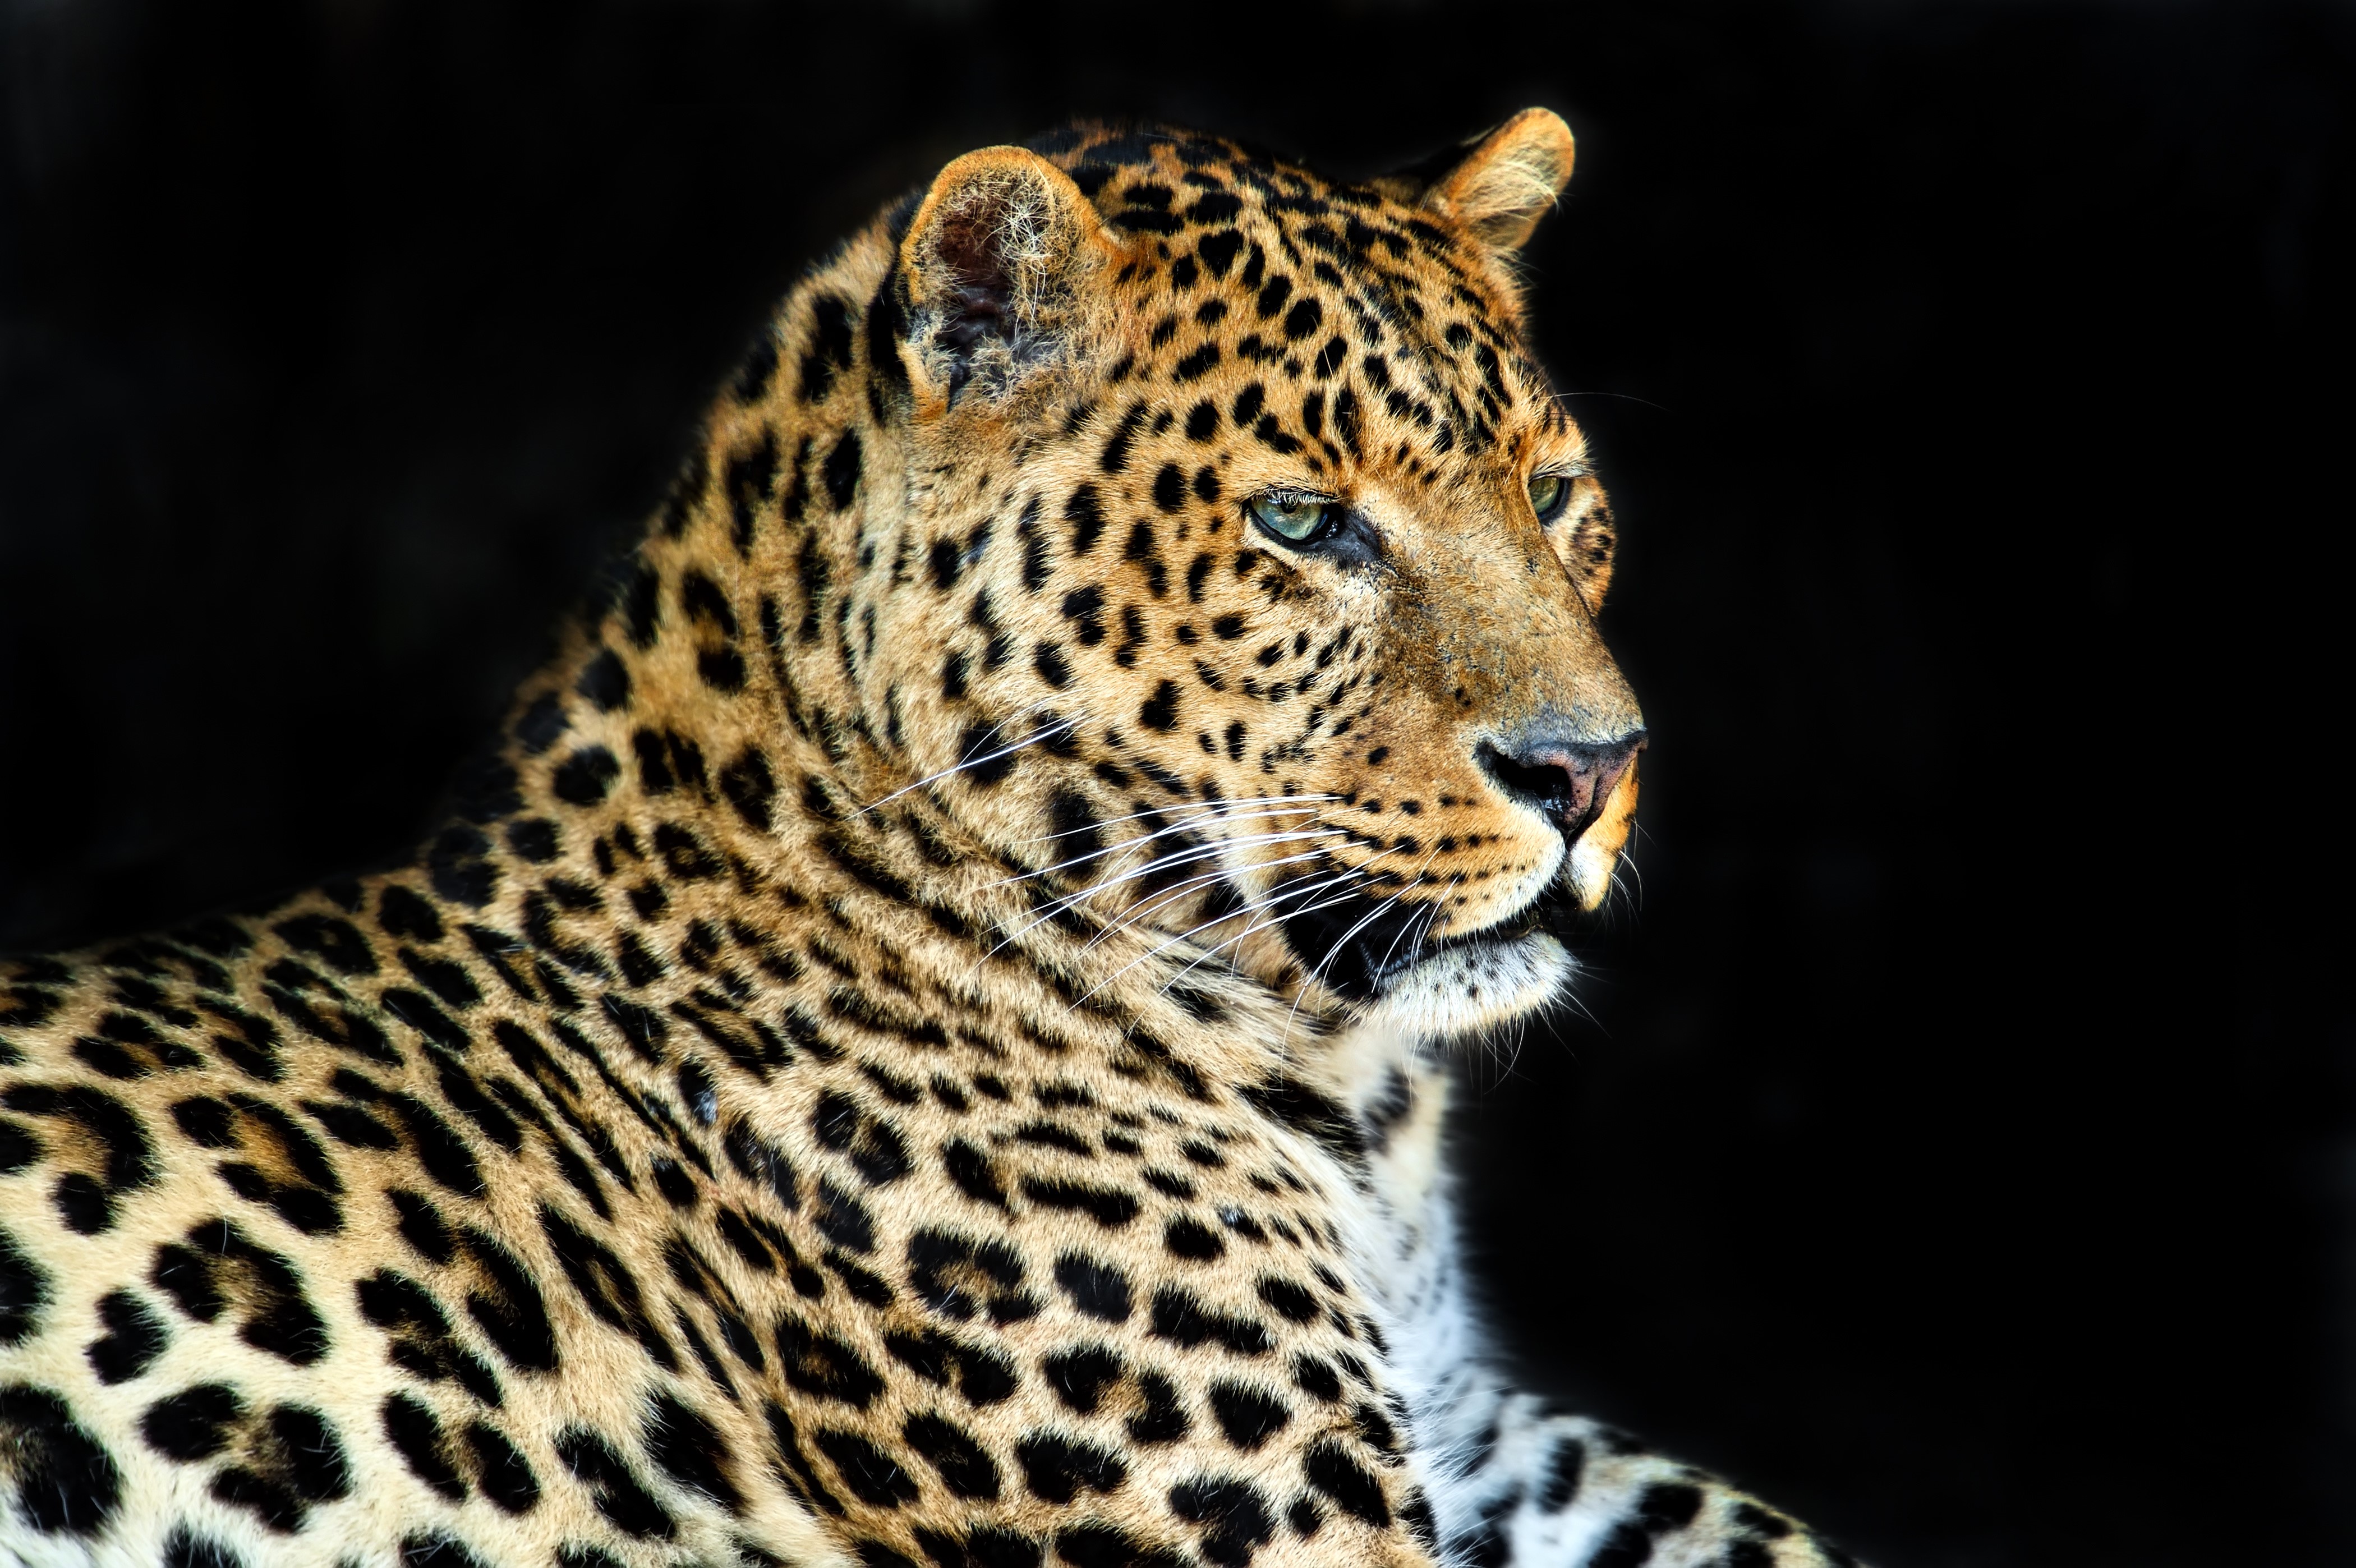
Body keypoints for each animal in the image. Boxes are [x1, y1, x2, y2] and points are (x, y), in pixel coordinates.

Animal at [0, 111, 1864, 1568]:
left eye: (1552, 496)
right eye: (1299, 520)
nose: (1593, 769)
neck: (1350, 1094)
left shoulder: (1469, 1425)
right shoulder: (1289, 1514)